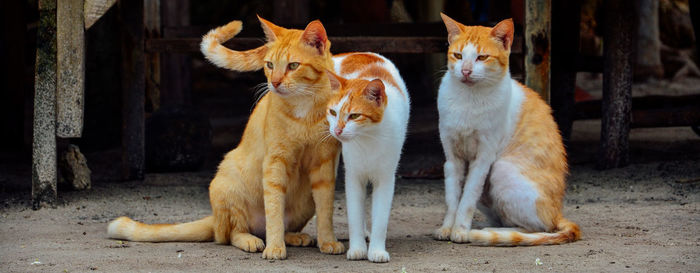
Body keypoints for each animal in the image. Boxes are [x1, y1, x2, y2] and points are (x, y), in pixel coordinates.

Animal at [107, 15, 344, 258]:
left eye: (293, 66)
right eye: (269, 65)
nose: (275, 83)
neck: (304, 107)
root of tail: (214, 218)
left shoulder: (325, 165)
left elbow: (325, 210)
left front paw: (328, 241)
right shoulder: (275, 162)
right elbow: (274, 209)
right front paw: (275, 248)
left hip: (306, 201)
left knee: (273, 227)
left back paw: (295, 237)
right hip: (226, 183)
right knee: (232, 234)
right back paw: (252, 240)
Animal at [326, 52, 410, 262]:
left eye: (354, 116)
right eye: (333, 112)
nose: (337, 130)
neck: (367, 139)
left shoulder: (386, 178)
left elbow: (380, 219)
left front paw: (376, 251)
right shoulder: (353, 176)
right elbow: (354, 215)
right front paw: (357, 249)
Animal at [434, 14, 584, 244]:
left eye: (482, 58)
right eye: (458, 55)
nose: (466, 71)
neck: (468, 100)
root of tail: (557, 213)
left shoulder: (483, 159)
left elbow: (467, 198)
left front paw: (460, 230)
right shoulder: (452, 158)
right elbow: (452, 198)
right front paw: (447, 228)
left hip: (501, 169)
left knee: (535, 228)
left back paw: (483, 232)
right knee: (507, 220)